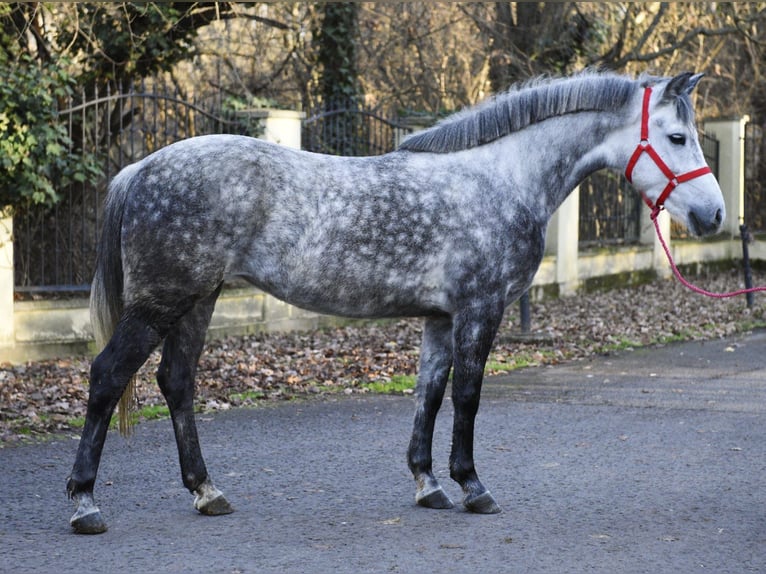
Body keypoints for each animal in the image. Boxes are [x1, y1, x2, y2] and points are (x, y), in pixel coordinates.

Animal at [67, 71, 724, 533]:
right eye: (676, 136)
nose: (714, 215)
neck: (501, 176)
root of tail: (141, 167)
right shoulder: (479, 311)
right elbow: (467, 397)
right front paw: (473, 488)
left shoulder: (439, 318)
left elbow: (428, 394)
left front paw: (428, 485)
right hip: (161, 304)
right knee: (107, 377)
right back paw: (84, 504)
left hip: (196, 301)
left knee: (177, 383)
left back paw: (208, 493)